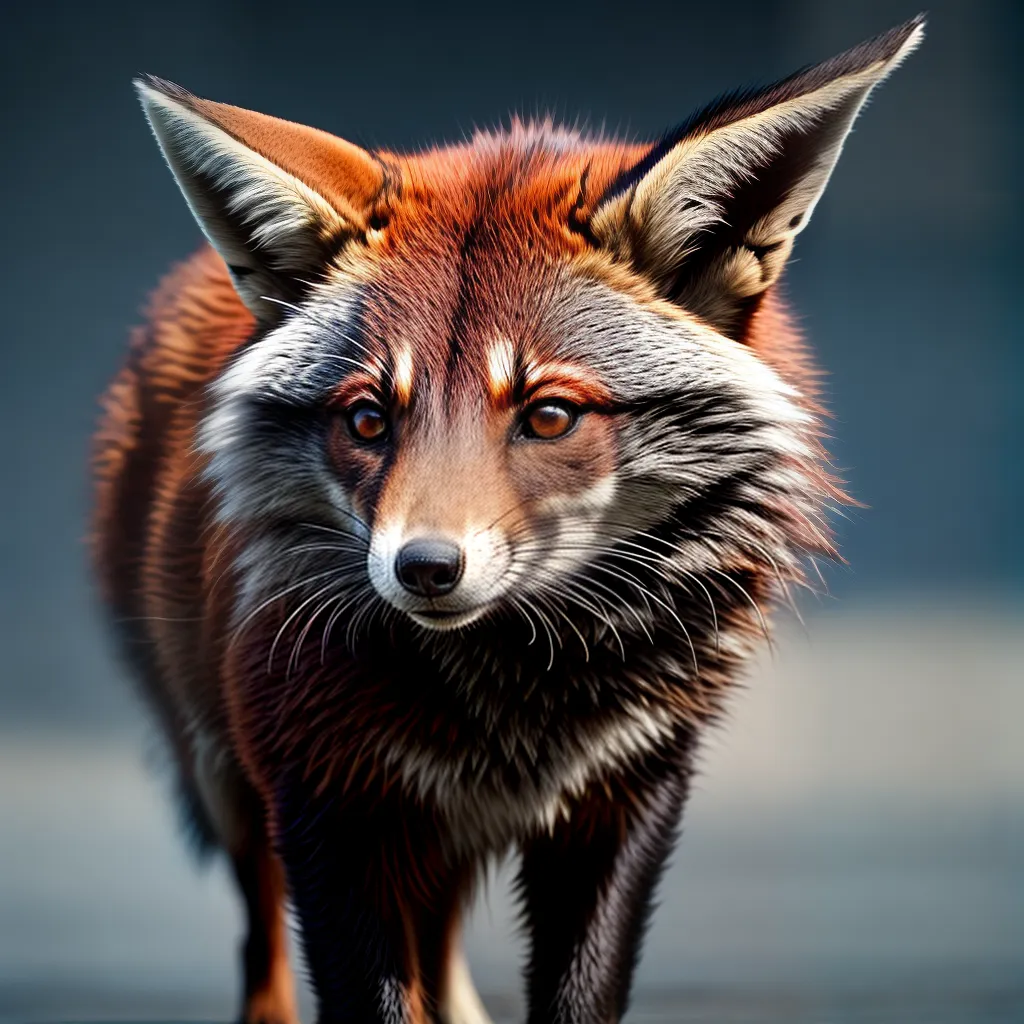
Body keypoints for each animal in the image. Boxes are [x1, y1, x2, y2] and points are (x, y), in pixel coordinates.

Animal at [91, 16, 922, 1024]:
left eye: (549, 415)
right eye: (368, 419)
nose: (424, 567)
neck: (510, 709)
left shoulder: (626, 793)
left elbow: (573, 993)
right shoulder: (324, 795)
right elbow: (370, 994)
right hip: (227, 780)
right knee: (263, 945)